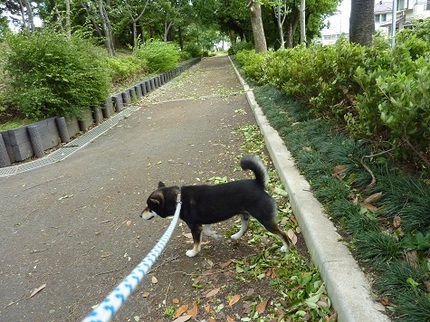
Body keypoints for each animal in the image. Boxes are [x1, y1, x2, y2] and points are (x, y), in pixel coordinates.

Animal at [140, 155, 288, 258]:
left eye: (149, 207)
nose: (140, 215)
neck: (178, 199)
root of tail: (258, 183)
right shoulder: (204, 222)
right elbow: (207, 231)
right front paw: (215, 235)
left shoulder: (195, 226)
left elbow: (196, 242)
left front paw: (193, 252)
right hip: (244, 214)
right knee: (246, 227)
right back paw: (236, 236)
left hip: (265, 219)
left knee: (283, 234)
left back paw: (286, 248)